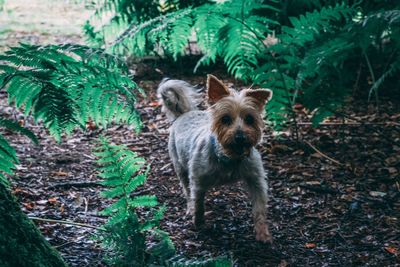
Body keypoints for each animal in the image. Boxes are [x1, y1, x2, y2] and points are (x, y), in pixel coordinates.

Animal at [158, 75, 274, 243]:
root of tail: (184, 113)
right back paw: (189, 208)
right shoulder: (198, 181)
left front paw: (262, 233)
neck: (230, 158)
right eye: (225, 119)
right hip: (180, 167)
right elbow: (198, 204)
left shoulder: (256, 180)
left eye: (249, 119)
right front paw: (198, 222)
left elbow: (259, 208)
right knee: (186, 189)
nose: (240, 137)